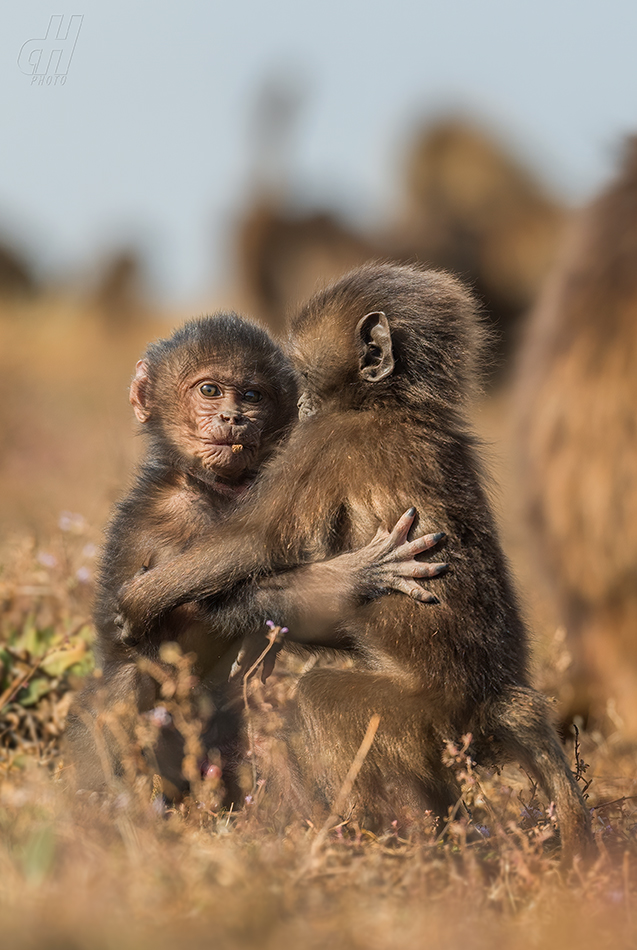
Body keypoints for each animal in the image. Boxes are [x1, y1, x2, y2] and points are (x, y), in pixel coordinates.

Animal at [118, 266, 592, 864]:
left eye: (301, 380)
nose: (290, 413)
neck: (393, 403)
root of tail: (494, 694)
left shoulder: (326, 442)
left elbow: (254, 541)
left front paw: (140, 601)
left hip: (417, 721)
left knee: (317, 698)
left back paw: (368, 845)